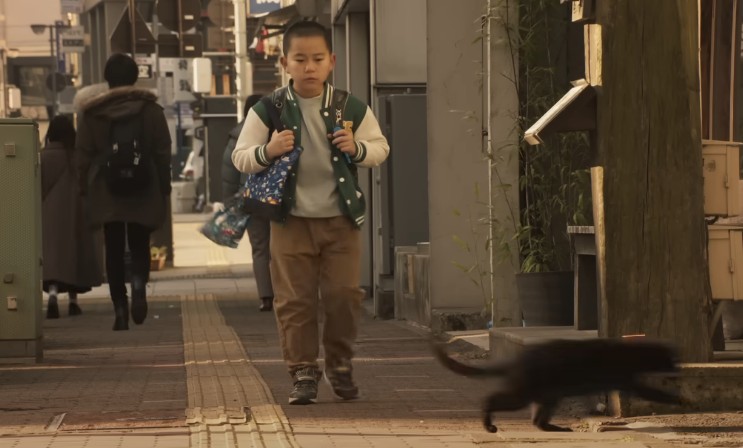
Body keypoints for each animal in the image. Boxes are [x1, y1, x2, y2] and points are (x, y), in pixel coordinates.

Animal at [434, 338, 684, 432]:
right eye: (671, 360)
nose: (679, 367)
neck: (630, 353)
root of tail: (518, 360)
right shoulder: (626, 379)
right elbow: (653, 392)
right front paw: (680, 399)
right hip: (525, 393)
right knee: (491, 399)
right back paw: (489, 425)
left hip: (548, 395)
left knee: (537, 420)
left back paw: (556, 427)